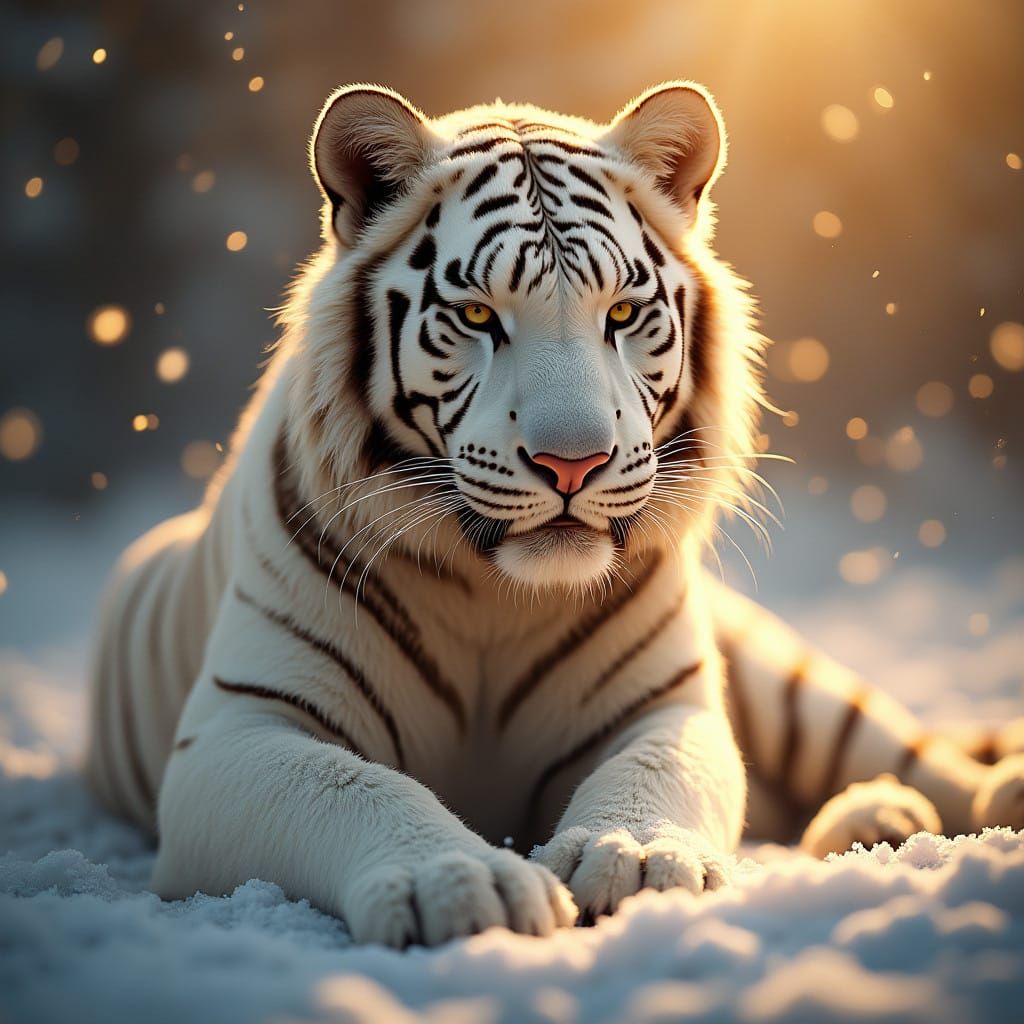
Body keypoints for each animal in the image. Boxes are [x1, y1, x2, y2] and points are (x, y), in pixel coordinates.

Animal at [84, 82, 1024, 948]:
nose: (574, 462)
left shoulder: (668, 707)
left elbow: (654, 773)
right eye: (475, 315)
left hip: (785, 681)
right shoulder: (237, 733)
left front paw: (634, 860)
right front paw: (456, 880)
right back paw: (877, 817)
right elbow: (356, 790)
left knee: (902, 748)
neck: (493, 596)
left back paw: (955, 799)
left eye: (622, 313)